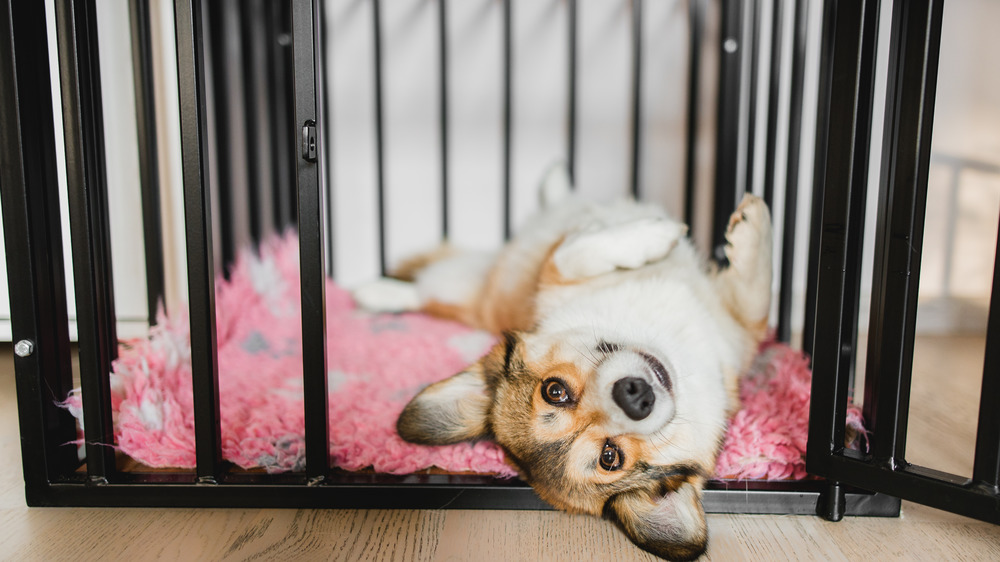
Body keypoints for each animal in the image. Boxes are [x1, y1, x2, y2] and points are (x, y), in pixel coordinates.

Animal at [354, 164, 772, 556]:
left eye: (554, 391)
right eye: (610, 457)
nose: (636, 397)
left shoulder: (737, 330)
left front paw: (741, 230)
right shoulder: (554, 272)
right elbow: (575, 252)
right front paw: (684, 234)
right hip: (460, 286)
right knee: (425, 293)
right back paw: (376, 292)